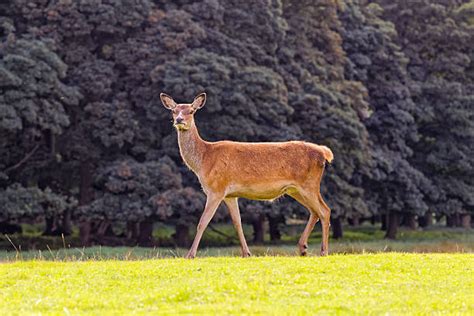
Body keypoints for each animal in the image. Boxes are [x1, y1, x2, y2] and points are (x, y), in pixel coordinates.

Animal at [161, 92, 336, 258]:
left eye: (191, 111)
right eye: (174, 111)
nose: (179, 120)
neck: (204, 160)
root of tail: (323, 153)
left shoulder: (216, 189)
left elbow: (202, 222)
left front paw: (190, 255)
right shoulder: (230, 195)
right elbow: (237, 222)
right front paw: (246, 253)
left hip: (309, 184)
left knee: (324, 210)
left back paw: (323, 251)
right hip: (295, 189)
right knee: (315, 211)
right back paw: (303, 248)